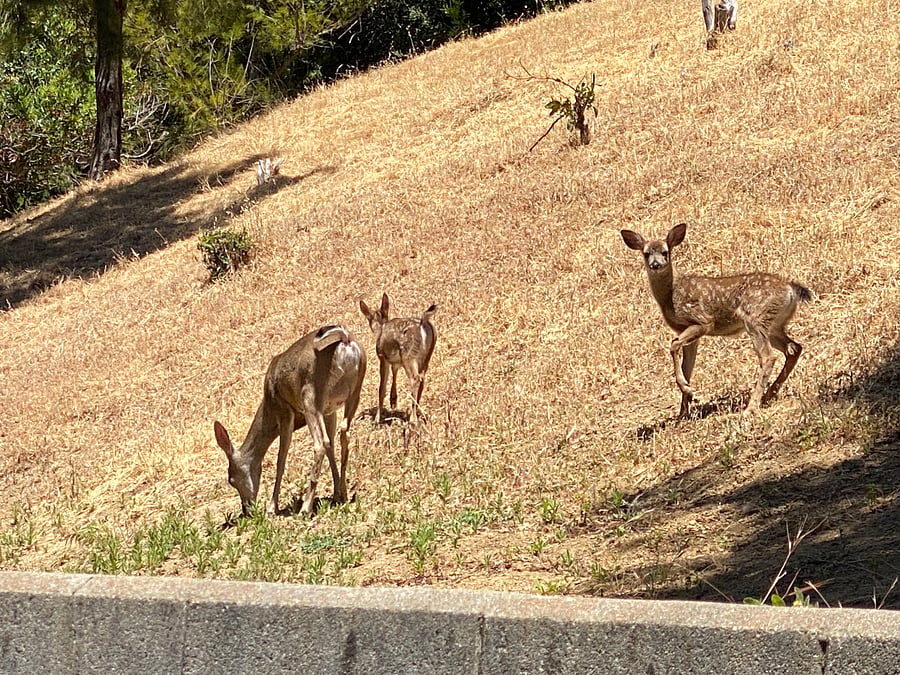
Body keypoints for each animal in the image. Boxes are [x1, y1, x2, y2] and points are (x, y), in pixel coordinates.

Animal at [213, 324, 366, 517]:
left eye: (231, 480)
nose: (247, 509)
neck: (268, 407)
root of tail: (345, 340)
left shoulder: (284, 412)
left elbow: (281, 459)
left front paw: (272, 507)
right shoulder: (329, 411)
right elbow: (331, 447)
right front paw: (337, 492)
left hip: (310, 396)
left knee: (320, 443)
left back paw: (305, 507)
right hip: (353, 393)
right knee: (343, 434)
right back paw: (343, 493)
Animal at [359, 294, 437, 426]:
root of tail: (423, 323)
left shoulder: (382, 357)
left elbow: (381, 388)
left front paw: (377, 419)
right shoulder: (396, 362)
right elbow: (394, 374)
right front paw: (393, 401)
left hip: (409, 356)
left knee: (415, 379)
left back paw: (413, 420)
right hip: (426, 357)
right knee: (422, 380)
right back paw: (417, 412)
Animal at [621, 222, 811, 418]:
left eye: (665, 252)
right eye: (646, 253)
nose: (655, 264)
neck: (669, 296)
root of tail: (791, 289)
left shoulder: (702, 321)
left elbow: (674, 345)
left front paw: (688, 392)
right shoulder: (688, 332)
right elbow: (687, 368)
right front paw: (684, 411)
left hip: (755, 319)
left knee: (769, 356)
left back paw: (751, 407)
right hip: (774, 325)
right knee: (794, 348)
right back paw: (768, 395)